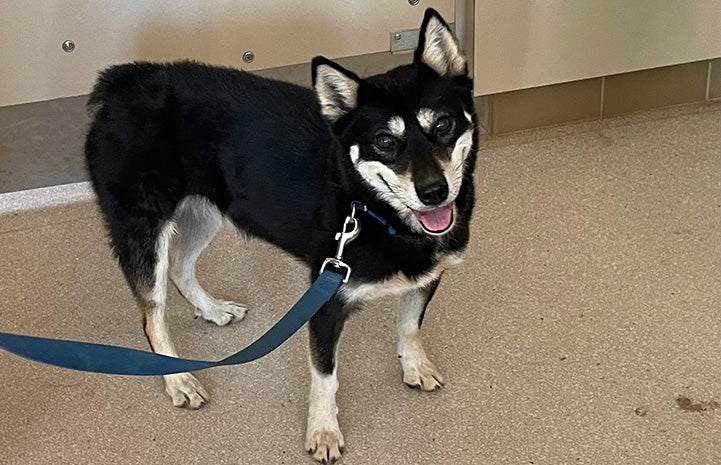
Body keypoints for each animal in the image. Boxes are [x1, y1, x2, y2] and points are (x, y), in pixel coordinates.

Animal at [84, 9, 476, 462]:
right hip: (144, 228)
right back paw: (178, 379)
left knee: (181, 269)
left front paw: (414, 366)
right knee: (152, 314)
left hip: (208, 209)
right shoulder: (326, 300)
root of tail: (125, 79)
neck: (372, 210)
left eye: (444, 124)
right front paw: (323, 431)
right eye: (384, 141)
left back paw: (212, 309)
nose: (434, 192)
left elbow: (410, 326)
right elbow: (325, 376)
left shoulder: (427, 276)